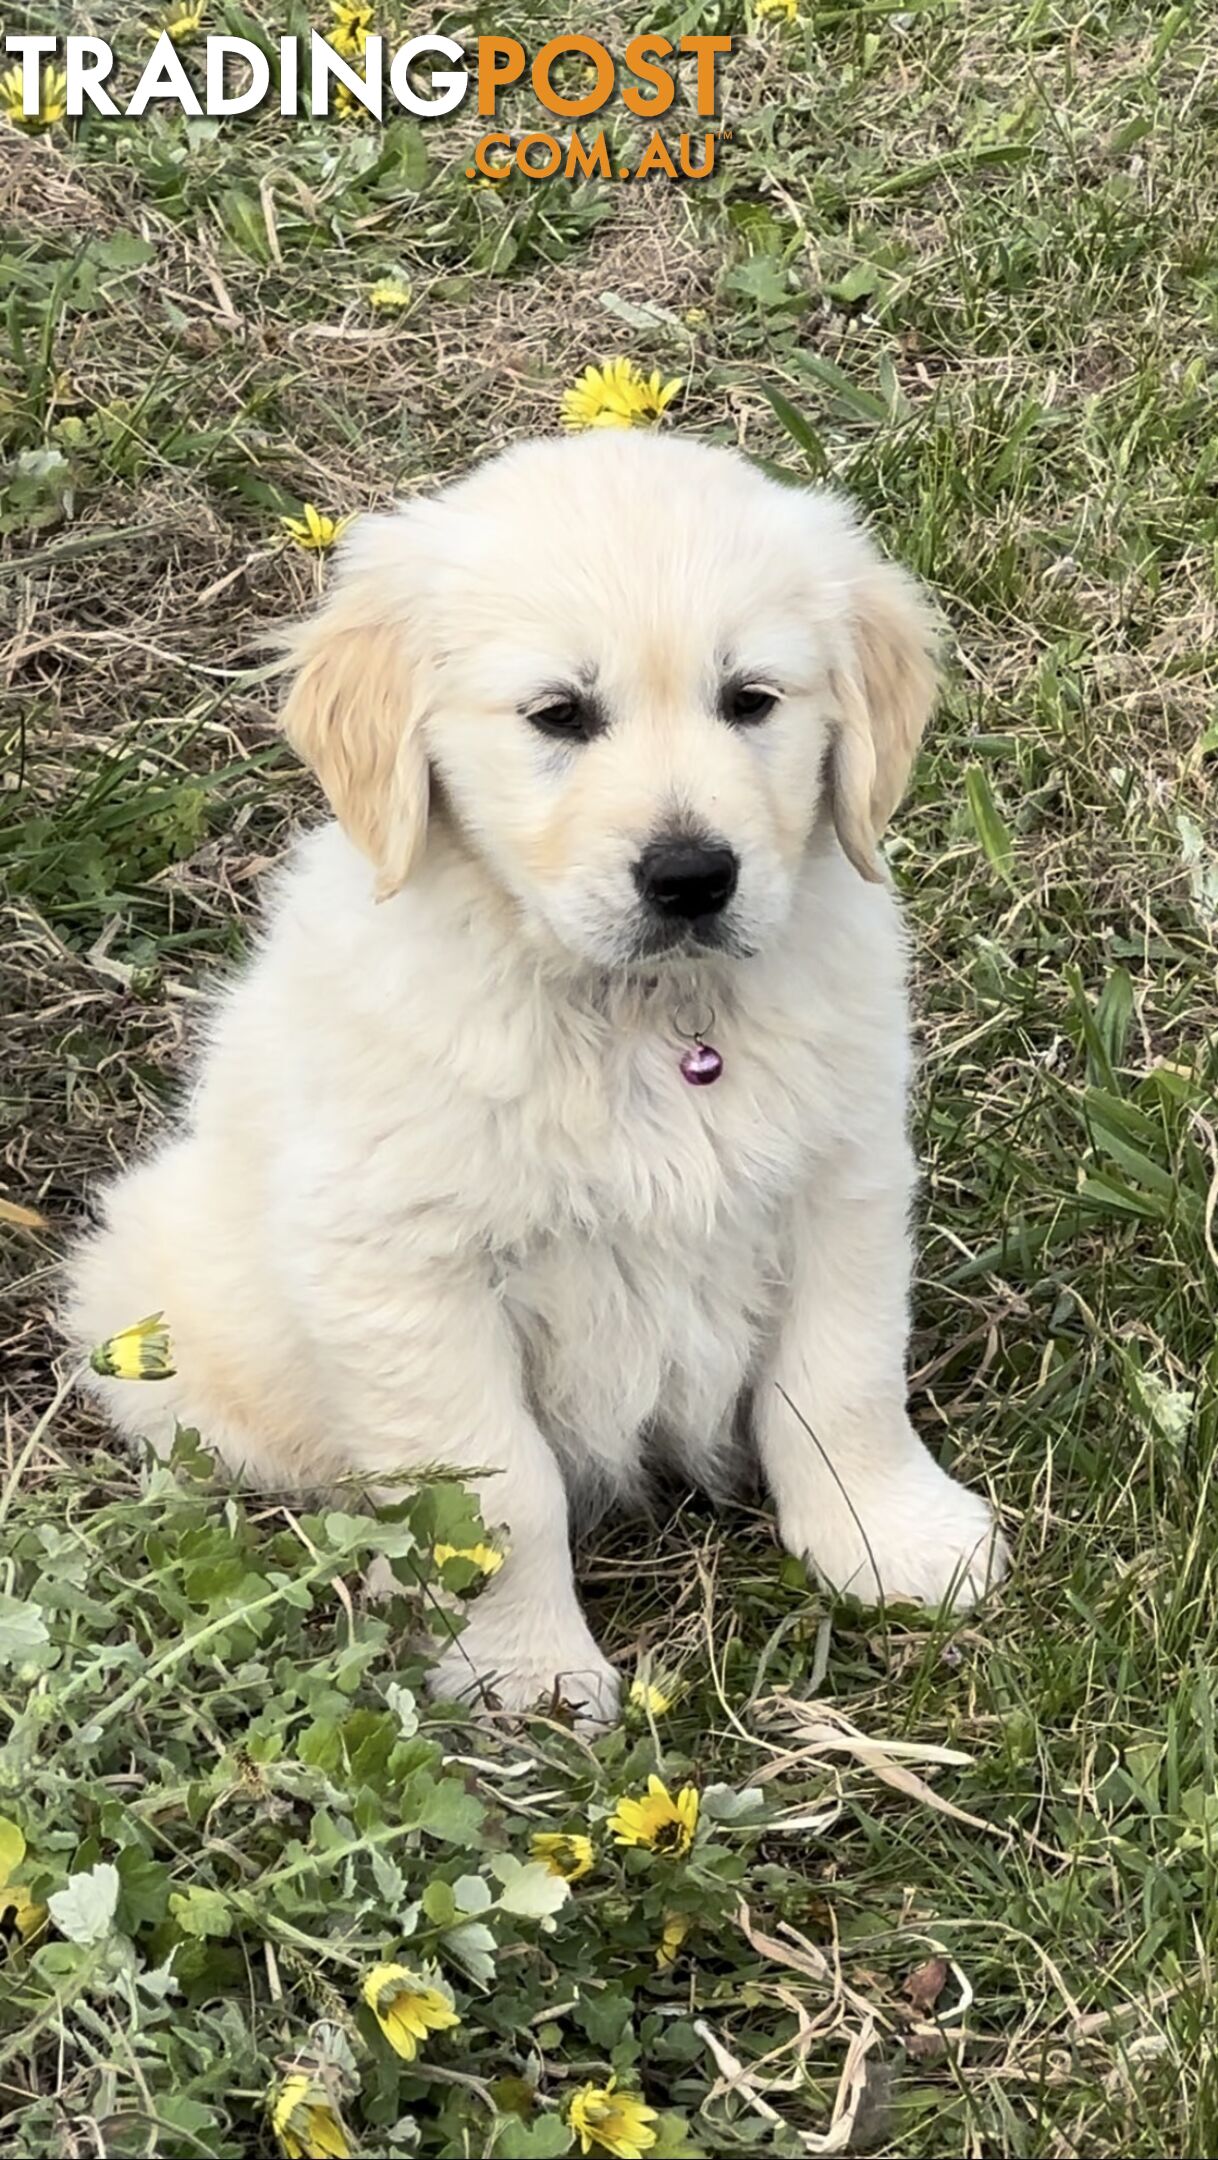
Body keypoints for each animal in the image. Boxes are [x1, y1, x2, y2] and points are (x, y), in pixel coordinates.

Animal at [71, 434, 1015, 1719]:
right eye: (560, 715)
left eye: (751, 701)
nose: (691, 876)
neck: (644, 1017)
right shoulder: (408, 1271)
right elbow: (498, 1494)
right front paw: (525, 1674)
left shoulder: (842, 1183)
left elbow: (842, 1381)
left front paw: (891, 1539)